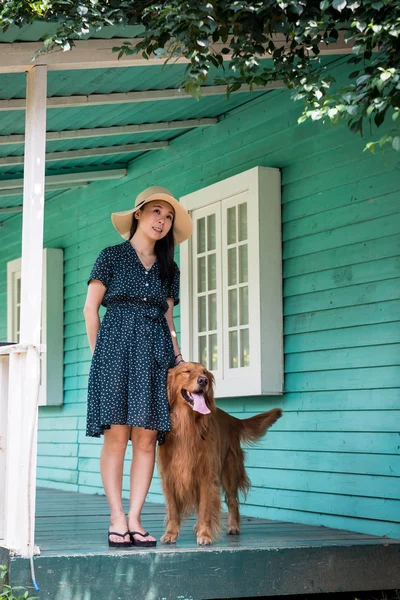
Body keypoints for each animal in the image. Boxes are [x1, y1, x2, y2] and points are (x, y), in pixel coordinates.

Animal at [158, 358, 282, 548]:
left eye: (204, 372)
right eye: (186, 371)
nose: (203, 381)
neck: (187, 426)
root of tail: (232, 419)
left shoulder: (206, 474)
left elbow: (205, 507)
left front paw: (205, 534)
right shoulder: (169, 475)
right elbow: (173, 509)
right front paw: (171, 533)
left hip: (230, 470)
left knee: (232, 501)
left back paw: (232, 526)